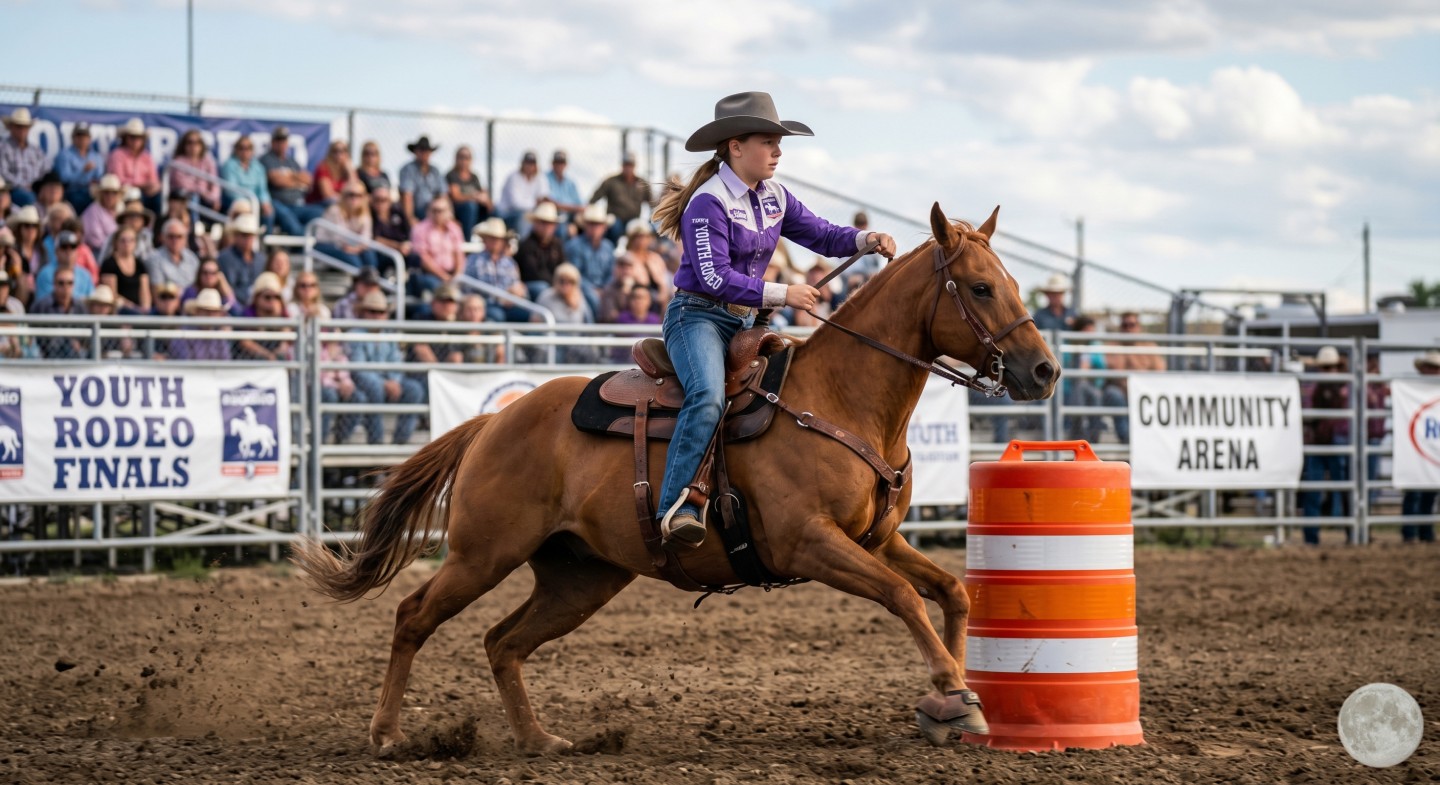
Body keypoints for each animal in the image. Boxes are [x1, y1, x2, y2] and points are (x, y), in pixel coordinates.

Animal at [294, 203, 1061, 754]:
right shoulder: (811, 543)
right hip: (483, 553)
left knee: (502, 642)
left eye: (1015, 284)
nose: (1046, 370)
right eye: (981, 287)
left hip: (581, 576)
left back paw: (541, 739)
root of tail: (494, 421)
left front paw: (956, 702)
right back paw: (388, 735)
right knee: (413, 615)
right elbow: (904, 596)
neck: (840, 398)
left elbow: (951, 591)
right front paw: (951, 691)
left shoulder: (875, 540)